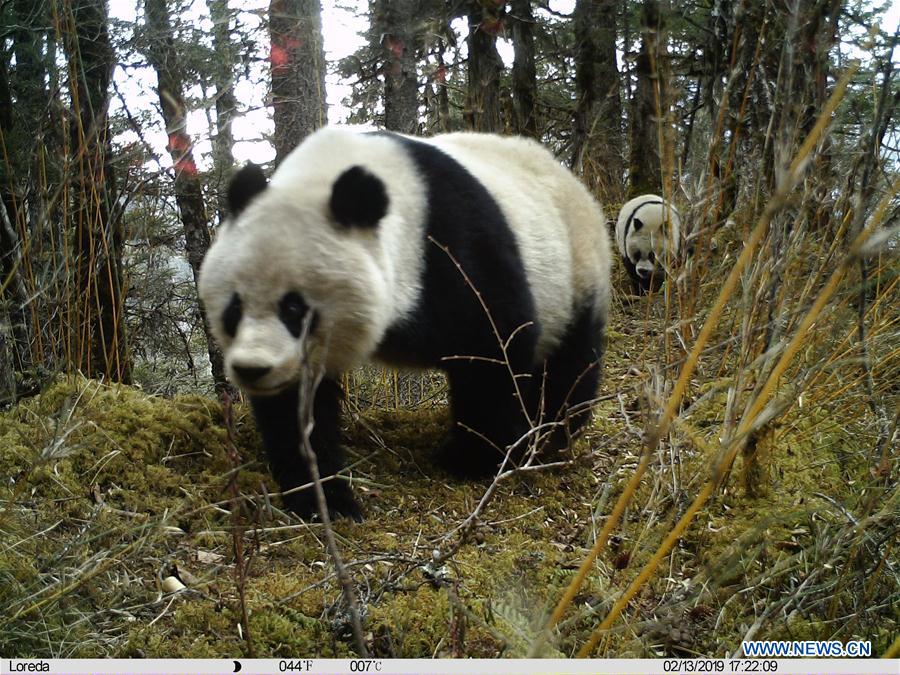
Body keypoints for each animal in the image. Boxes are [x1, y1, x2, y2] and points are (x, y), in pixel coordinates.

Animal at [200, 128, 612, 524]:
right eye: (234, 308)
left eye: (294, 308)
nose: (252, 369)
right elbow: (297, 410)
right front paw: (323, 499)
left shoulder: (455, 245)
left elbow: (495, 346)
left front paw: (471, 459)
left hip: (573, 268)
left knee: (570, 360)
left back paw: (553, 431)